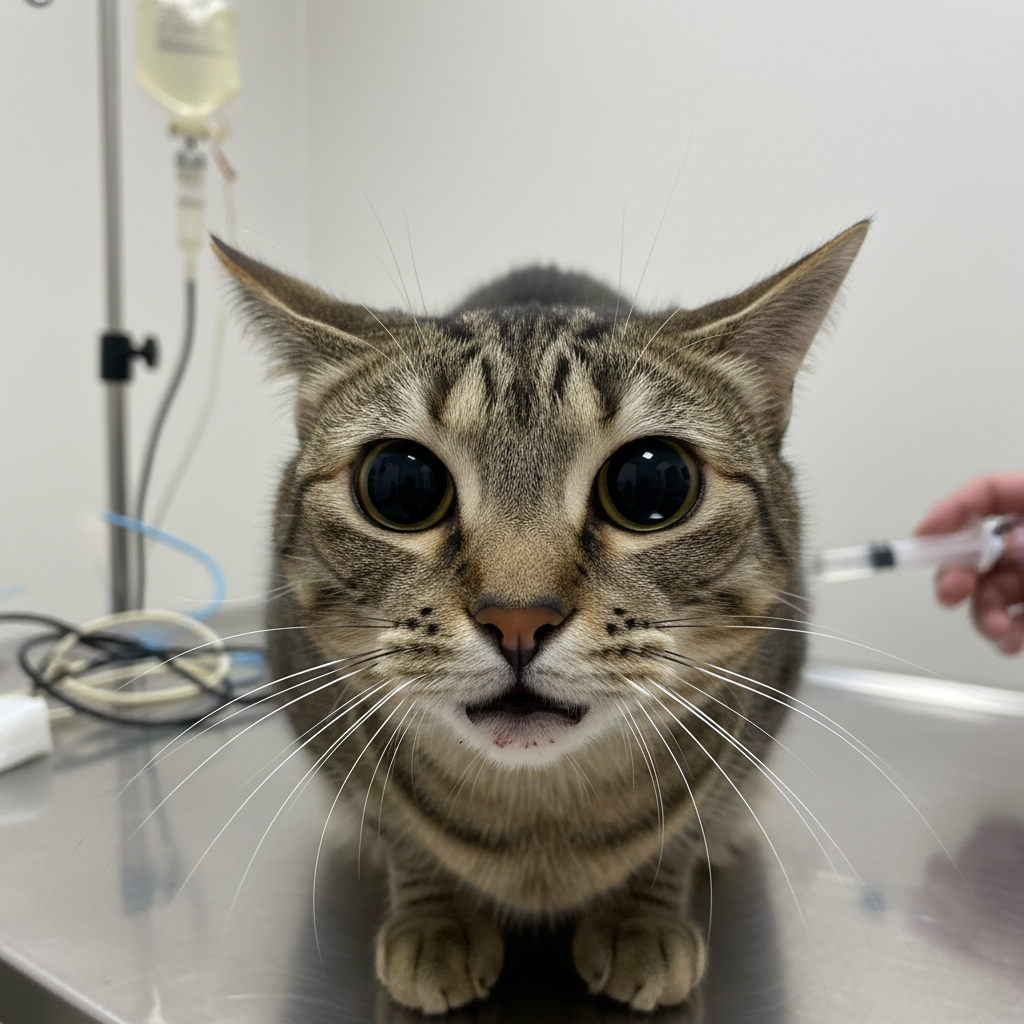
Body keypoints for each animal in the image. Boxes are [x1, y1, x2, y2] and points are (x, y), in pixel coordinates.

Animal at [213, 219, 868, 1014]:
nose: (517, 618)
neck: (539, 823)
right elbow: (397, 824)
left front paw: (644, 915)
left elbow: (690, 822)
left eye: (654, 481)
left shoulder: (757, 702)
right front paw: (434, 919)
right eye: (400, 485)